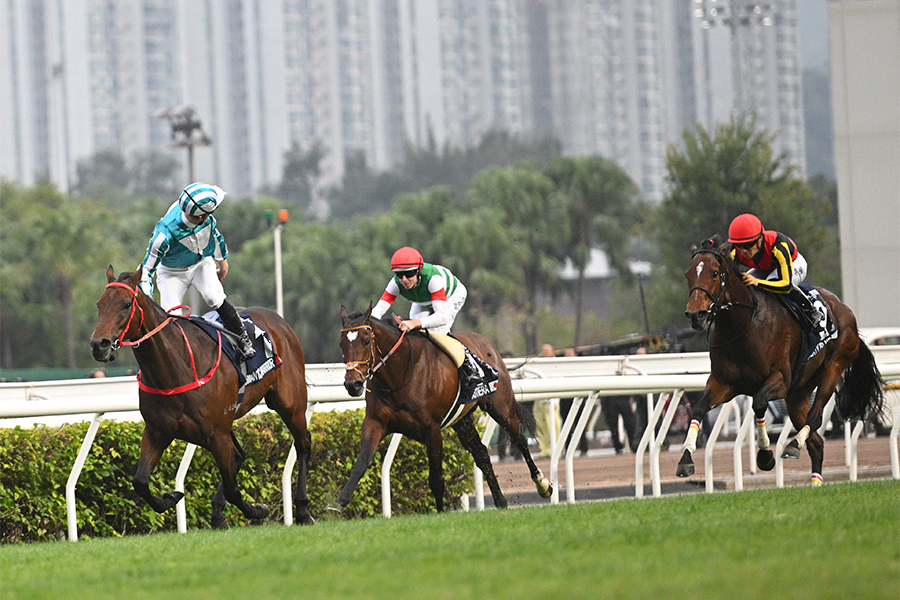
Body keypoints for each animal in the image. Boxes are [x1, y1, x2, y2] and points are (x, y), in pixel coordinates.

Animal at [88, 264, 312, 528]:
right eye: (99, 304)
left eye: (125, 304)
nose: (99, 344)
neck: (177, 367)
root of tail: (277, 319)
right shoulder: (158, 430)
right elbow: (140, 482)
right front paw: (171, 497)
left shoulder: (216, 433)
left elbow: (234, 489)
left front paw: (258, 510)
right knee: (241, 455)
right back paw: (217, 513)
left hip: (290, 402)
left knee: (303, 444)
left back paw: (302, 509)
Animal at [336, 304, 552, 510]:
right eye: (341, 344)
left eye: (366, 341)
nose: (353, 384)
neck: (400, 375)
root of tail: (485, 342)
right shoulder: (376, 422)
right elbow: (361, 463)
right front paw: (338, 503)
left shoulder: (431, 429)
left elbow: (436, 479)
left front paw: (440, 512)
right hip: (461, 421)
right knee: (482, 453)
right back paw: (500, 501)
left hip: (501, 407)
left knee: (519, 439)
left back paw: (543, 485)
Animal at [680, 237, 884, 486]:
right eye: (689, 274)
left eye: (715, 273)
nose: (696, 315)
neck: (742, 326)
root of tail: (845, 310)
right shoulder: (723, 384)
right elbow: (698, 409)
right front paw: (685, 460)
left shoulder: (780, 380)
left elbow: (759, 403)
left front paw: (766, 456)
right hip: (798, 393)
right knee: (817, 443)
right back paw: (814, 482)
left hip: (833, 367)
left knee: (815, 417)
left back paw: (793, 445)